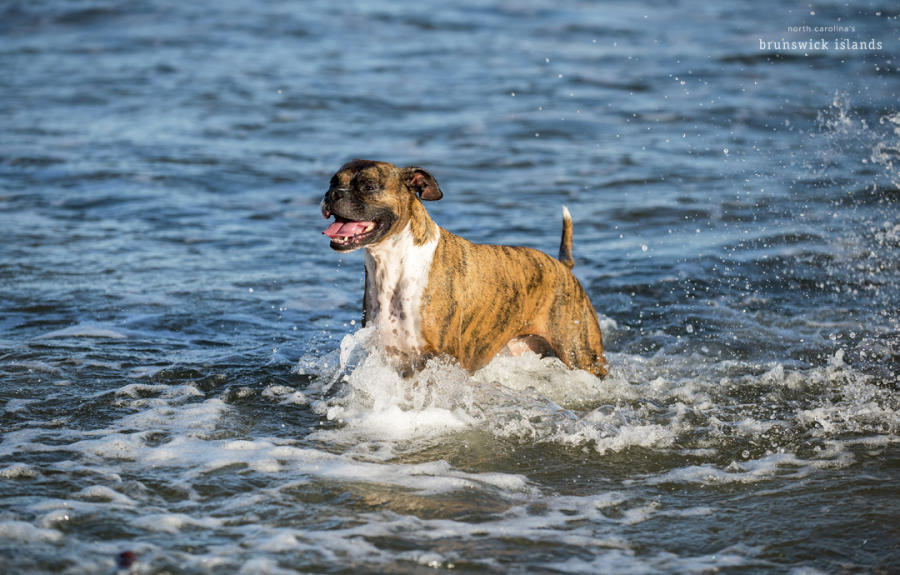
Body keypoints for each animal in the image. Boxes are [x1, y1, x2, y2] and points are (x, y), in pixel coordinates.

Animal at [320, 160, 608, 380]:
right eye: (333, 182)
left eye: (368, 186)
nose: (333, 194)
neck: (394, 264)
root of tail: (563, 267)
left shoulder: (442, 359)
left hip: (583, 355)